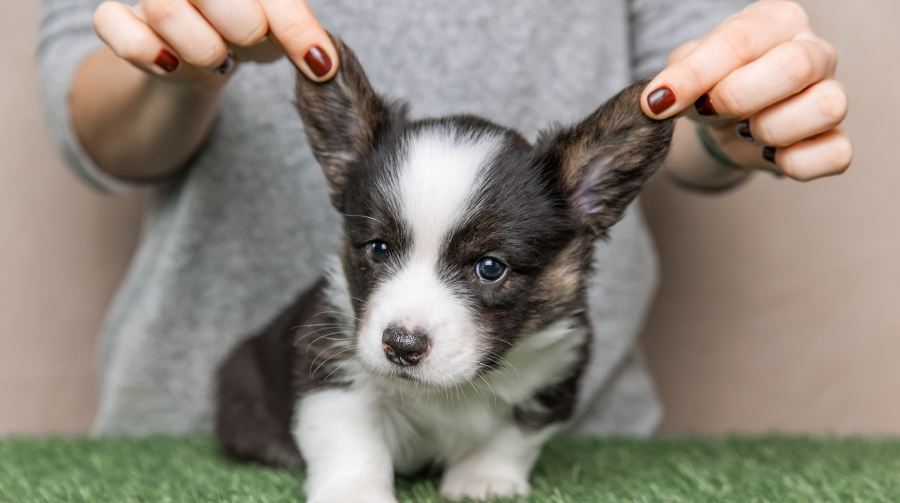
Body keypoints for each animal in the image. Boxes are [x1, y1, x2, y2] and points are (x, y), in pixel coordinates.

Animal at [214, 36, 672, 503]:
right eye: (378, 249)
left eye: (490, 268)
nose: (401, 347)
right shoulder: (330, 365)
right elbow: (352, 442)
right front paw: (356, 492)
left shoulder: (554, 372)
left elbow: (512, 436)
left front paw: (481, 482)